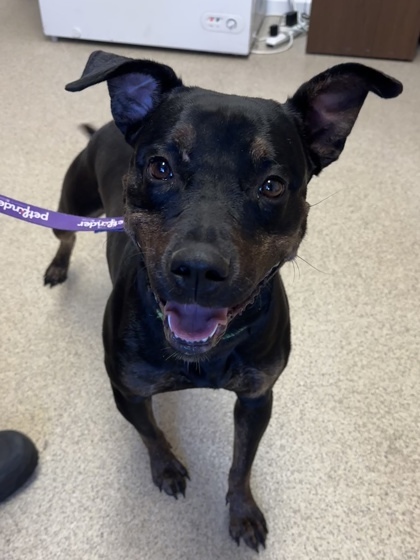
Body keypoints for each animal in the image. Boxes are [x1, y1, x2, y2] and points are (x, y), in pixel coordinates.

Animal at [44, 52, 402, 552]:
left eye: (272, 185)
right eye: (160, 167)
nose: (198, 269)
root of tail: (110, 127)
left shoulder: (256, 399)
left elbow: (241, 464)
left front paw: (243, 513)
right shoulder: (129, 391)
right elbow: (151, 433)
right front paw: (166, 467)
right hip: (71, 207)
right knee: (66, 238)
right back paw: (58, 267)